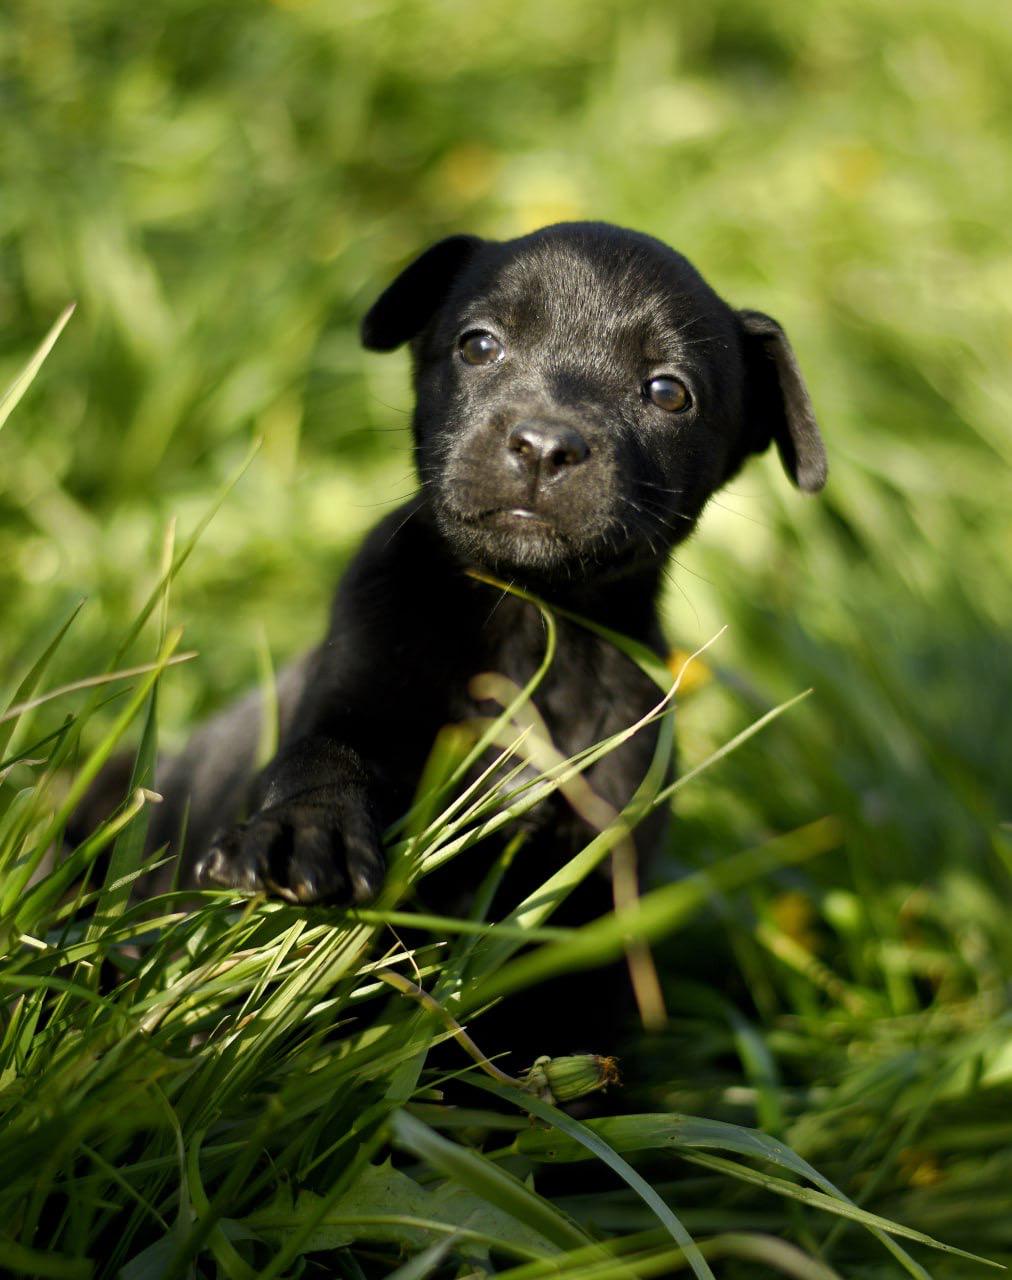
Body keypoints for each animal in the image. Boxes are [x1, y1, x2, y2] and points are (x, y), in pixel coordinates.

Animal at [128, 222, 823, 921]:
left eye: (668, 392)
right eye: (479, 345)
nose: (544, 446)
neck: (528, 614)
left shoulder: (606, 855)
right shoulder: (352, 684)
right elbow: (324, 752)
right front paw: (303, 830)